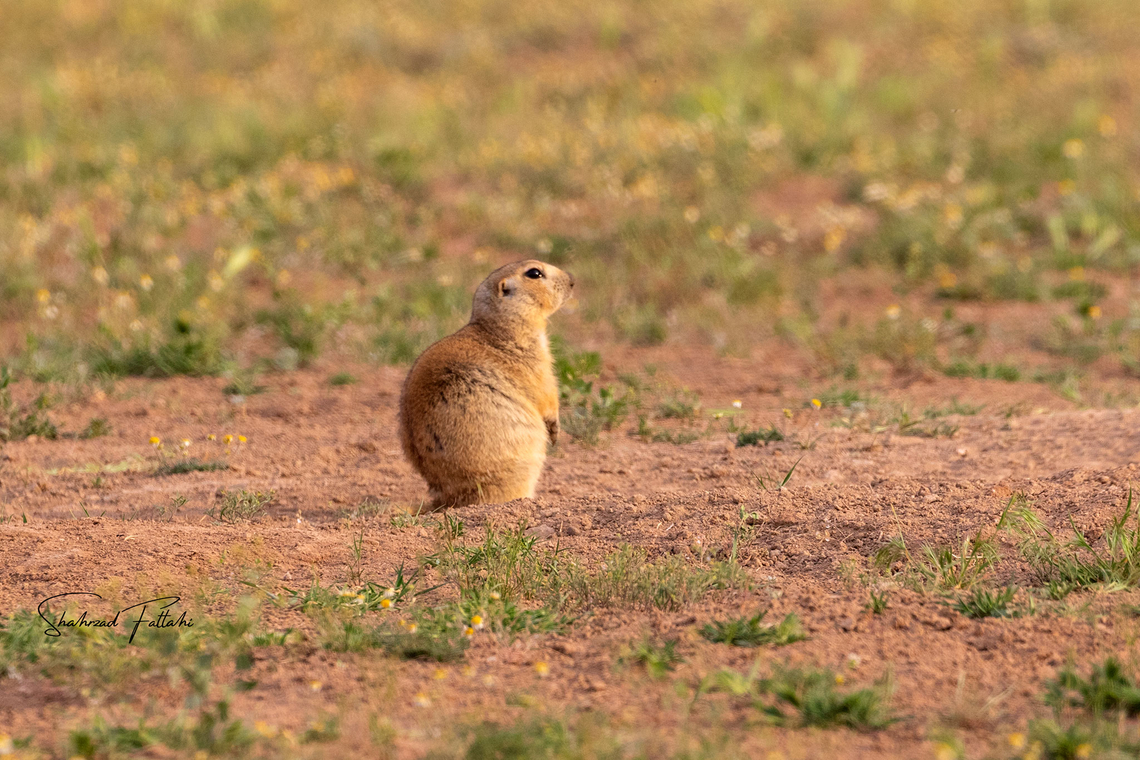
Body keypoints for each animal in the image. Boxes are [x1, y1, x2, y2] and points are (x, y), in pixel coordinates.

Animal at [398, 260, 575, 508]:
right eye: (534, 273)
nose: (572, 280)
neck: (498, 327)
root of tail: (449, 499)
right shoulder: (535, 359)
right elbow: (546, 391)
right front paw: (555, 430)